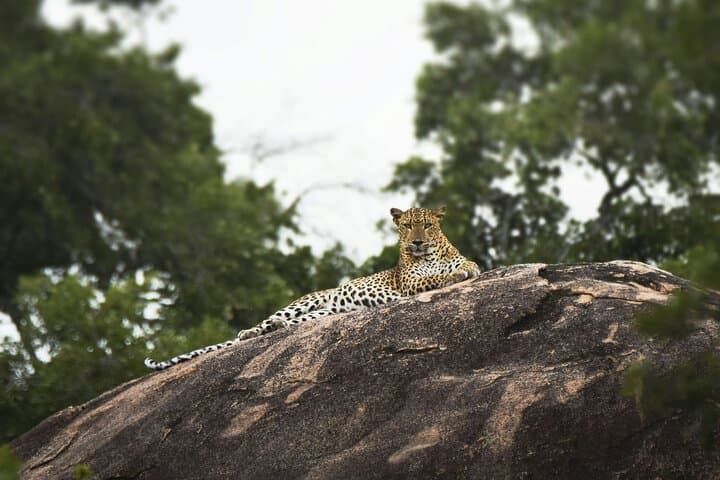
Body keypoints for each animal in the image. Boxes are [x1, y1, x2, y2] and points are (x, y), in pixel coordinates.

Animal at [144, 206, 481, 370]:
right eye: (407, 226)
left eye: (428, 225)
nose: (417, 242)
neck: (431, 254)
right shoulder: (410, 283)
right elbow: (431, 279)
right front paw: (451, 278)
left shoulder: (462, 260)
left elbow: (468, 265)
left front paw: (463, 271)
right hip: (304, 303)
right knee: (266, 320)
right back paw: (251, 332)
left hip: (321, 313)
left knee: (288, 323)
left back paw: (276, 329)